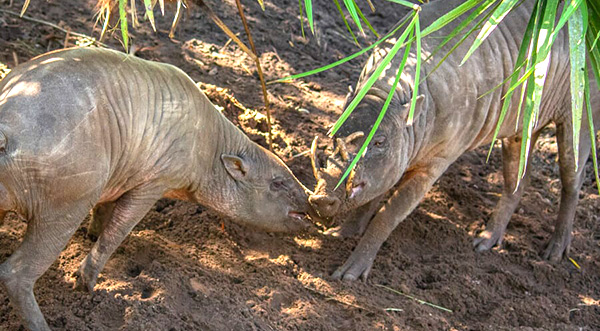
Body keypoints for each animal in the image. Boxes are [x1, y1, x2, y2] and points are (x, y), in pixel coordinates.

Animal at [0, 48, 312, 330]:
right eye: (277, 183)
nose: (311, 207)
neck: (211, 149)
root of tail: (6, 128)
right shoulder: (153, 182)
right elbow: (118, 230)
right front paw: (85, 284)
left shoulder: (117, 178)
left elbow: (103, 212)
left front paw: (91, 235)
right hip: (66, 203)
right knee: (15, 274)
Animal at [310, 0, 600, 280]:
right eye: (333, 134)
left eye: (379, 142)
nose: (322, 199)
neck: (390, 94)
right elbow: (374, 193)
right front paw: (341, 234)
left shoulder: (439, 157)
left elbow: (388, 215)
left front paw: (350, 274)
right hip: (525, 121)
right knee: (516, 178)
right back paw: (484, 242)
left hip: (581, 108)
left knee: (572, 178)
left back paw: (555, 252)